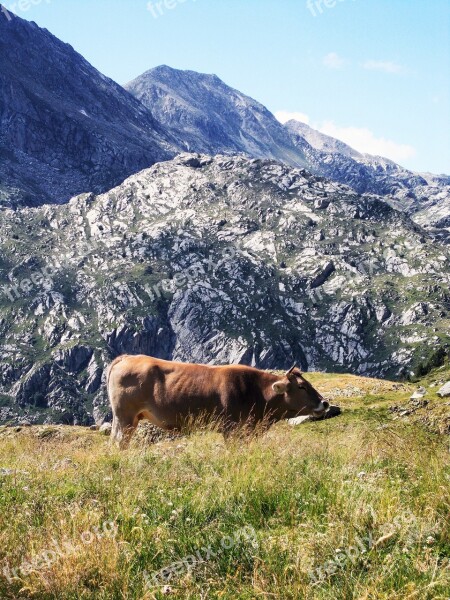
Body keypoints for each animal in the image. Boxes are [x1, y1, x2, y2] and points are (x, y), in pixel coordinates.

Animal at [107, 354, 328, 448]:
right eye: (302, 386)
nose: (325, 403)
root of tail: (126, 357)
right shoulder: (231, 429)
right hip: (125, 416)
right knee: (120, 441)